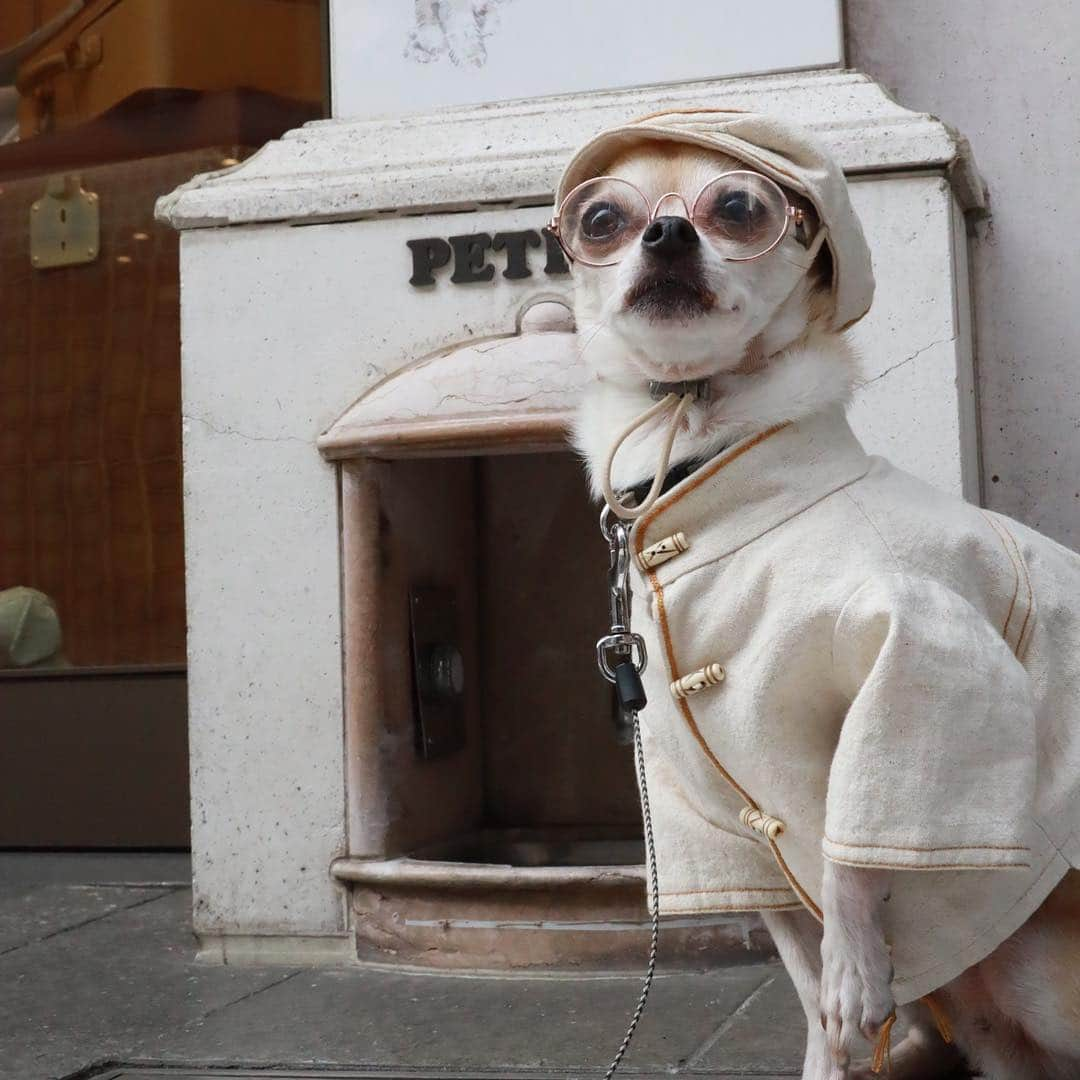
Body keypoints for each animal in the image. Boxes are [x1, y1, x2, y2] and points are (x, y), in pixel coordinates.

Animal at [565, 139, 1080, 1075]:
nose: (666, 232)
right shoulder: (724, 821)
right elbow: (807, 994)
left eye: (739, 208)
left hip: (1041, 975)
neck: (703, 440)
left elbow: (851, 842)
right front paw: (830, 1029)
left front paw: (853, 968)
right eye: (601, 218)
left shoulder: (914, 669)